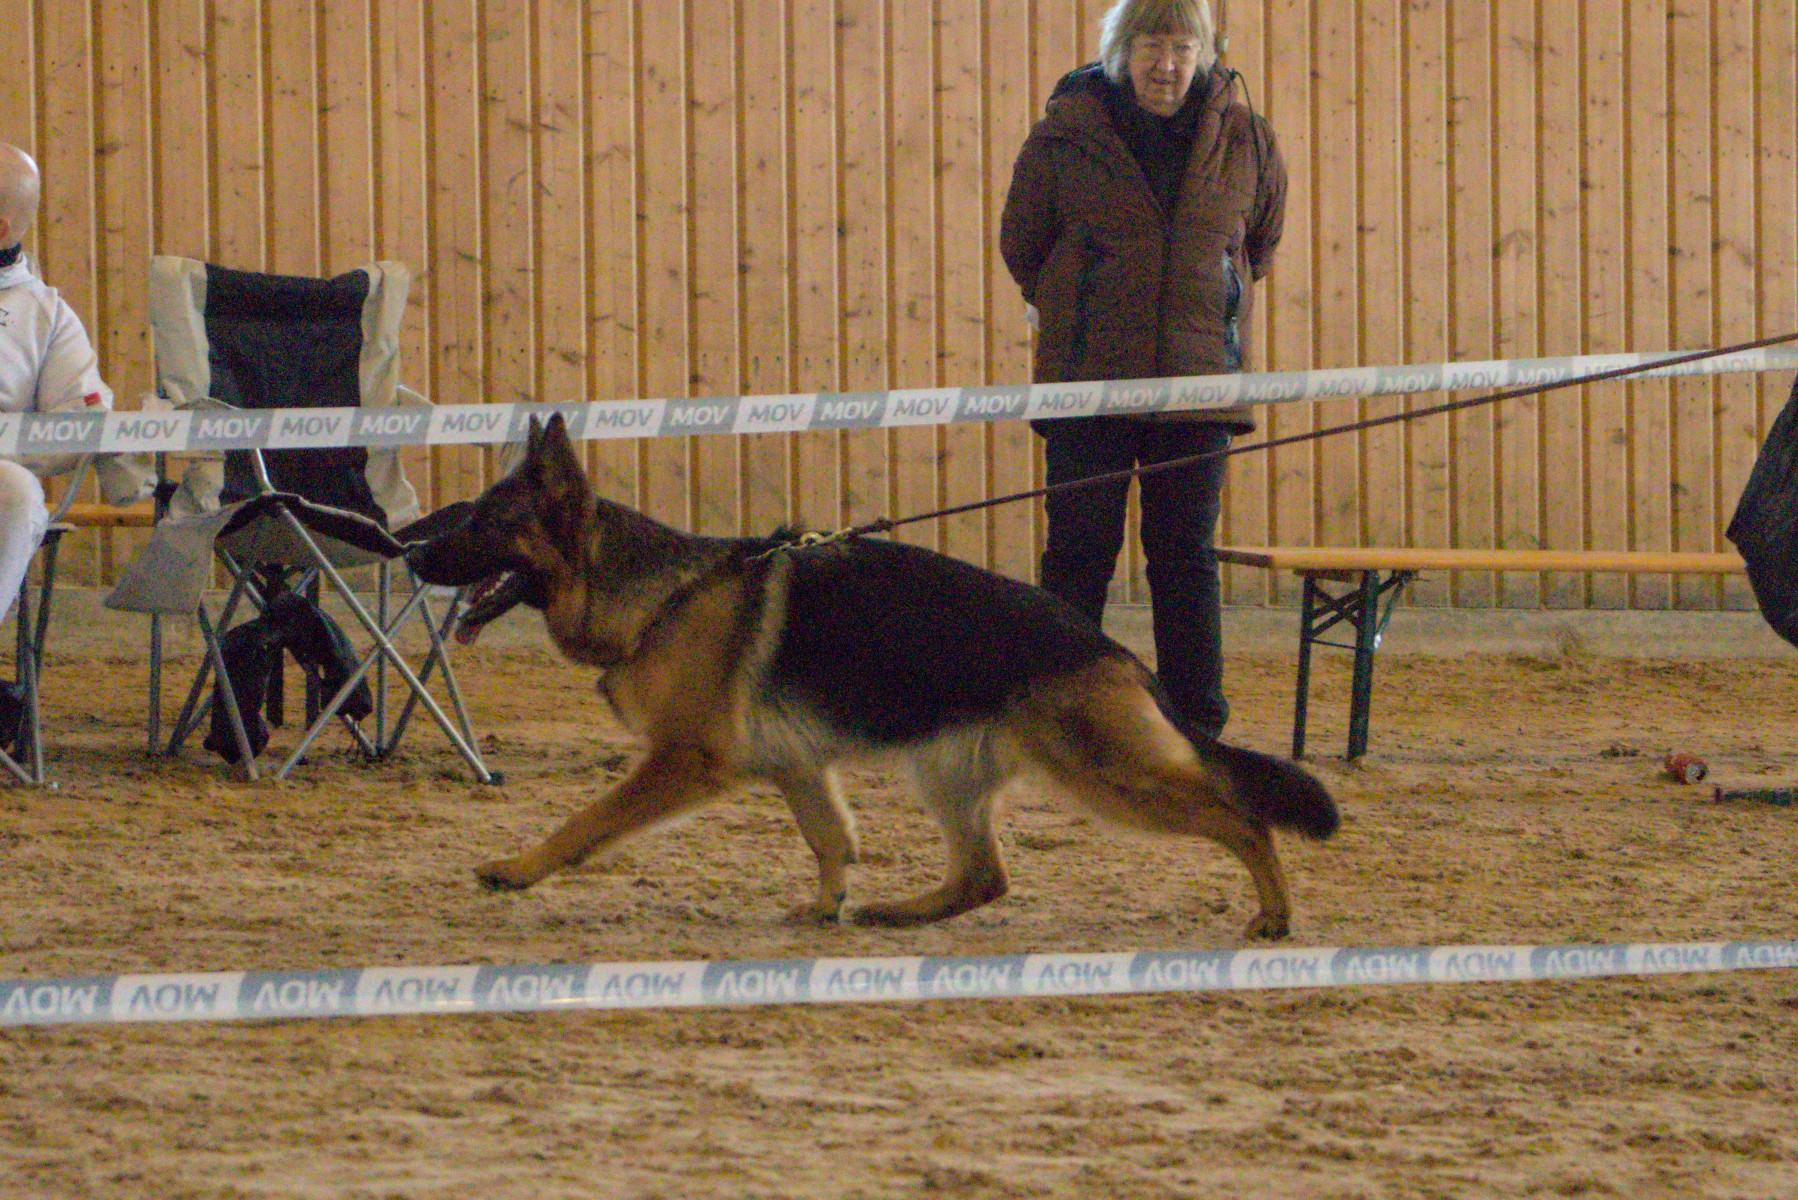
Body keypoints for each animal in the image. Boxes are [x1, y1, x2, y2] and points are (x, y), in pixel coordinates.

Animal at [408, 414, 1339, 937]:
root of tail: (1110, 648)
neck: (660, 593)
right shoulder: (796, 767)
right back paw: (898, 911)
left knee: (1240, 816)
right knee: (985, 877)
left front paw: (519, 869)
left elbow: (587, 821)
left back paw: (1276, 911)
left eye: (484, 522)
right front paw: (826, 906)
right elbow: (830, 837)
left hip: (1109, 775)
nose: (410, 555)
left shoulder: (685, 762)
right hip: (948, 773)